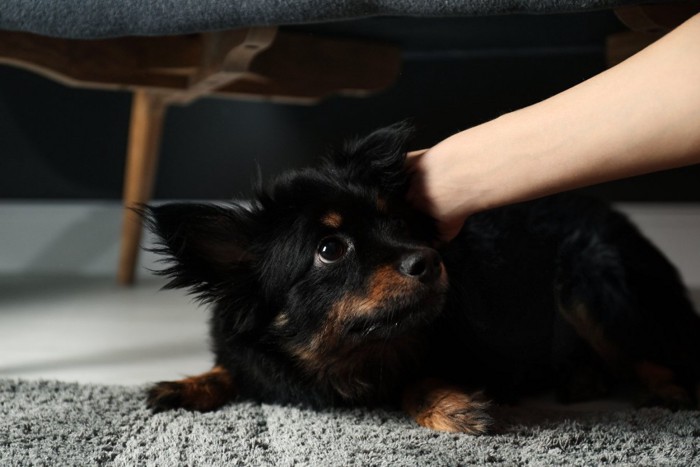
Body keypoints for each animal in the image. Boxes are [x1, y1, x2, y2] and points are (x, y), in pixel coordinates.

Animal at [144, 123, 700, 436]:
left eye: (399, 225)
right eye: (330, 250)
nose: (429, 260)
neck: (335, 363)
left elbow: (414, 380)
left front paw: (450, 406)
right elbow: (231, 367)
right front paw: (187, 384)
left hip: (594, 284)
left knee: (652, 353)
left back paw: (663, 393)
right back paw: (583, 379)